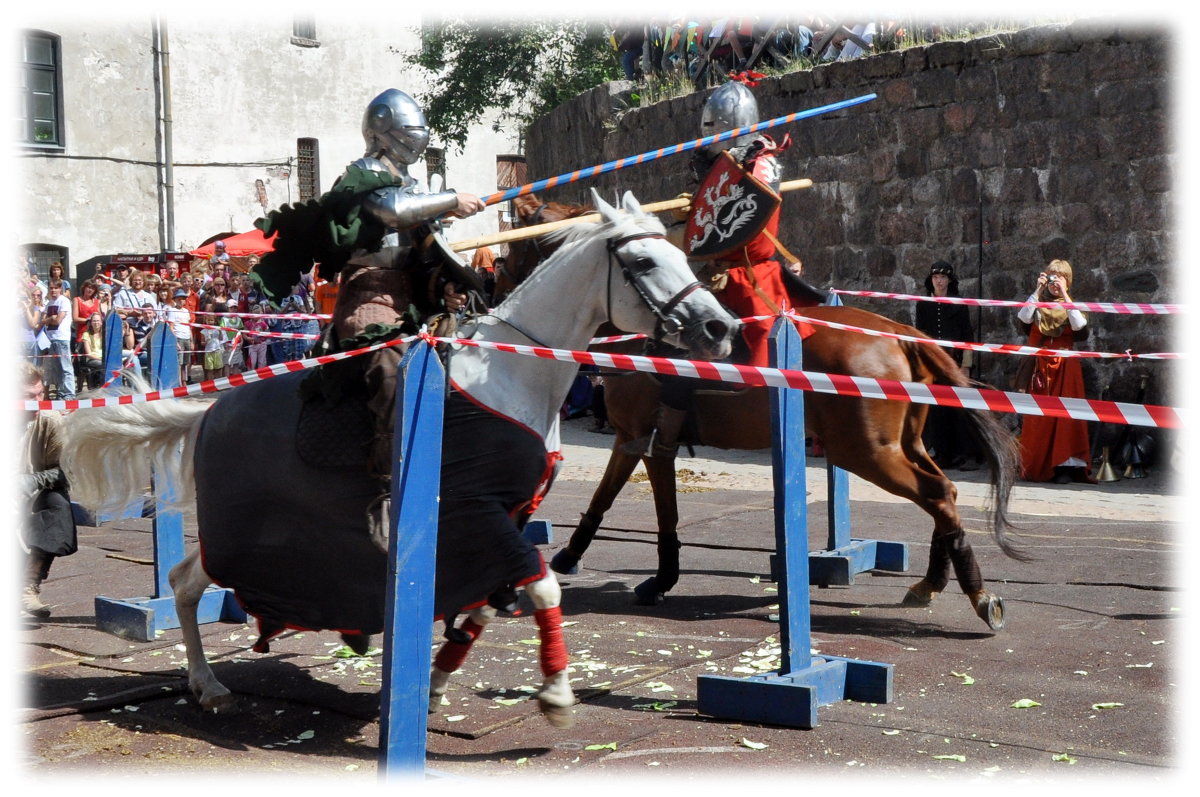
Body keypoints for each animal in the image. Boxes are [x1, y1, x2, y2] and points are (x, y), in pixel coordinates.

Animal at [63, 192, 739, 729]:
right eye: (644, 262)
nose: (720, 328)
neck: (512, 372)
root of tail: (209, 412)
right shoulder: (478, 513)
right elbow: (544, 586)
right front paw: (555, 694)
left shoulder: (502, 520)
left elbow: (481, 608)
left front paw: (434, 684)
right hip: (238, 533)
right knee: (182, 585)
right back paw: (209, 686)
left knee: (184, 579)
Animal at [504, 192, 1022, 628]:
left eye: (512, 251)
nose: (498, 298)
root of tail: (898, 333)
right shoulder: (630, 438)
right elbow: (604, 496)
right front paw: (571, 556)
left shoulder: (650, 442)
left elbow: (662, 513)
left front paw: (659, 578)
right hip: (900, 444)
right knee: (946, 493)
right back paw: (934, 583)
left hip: (867, 452)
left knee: (936, 493)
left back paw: (977, 596)